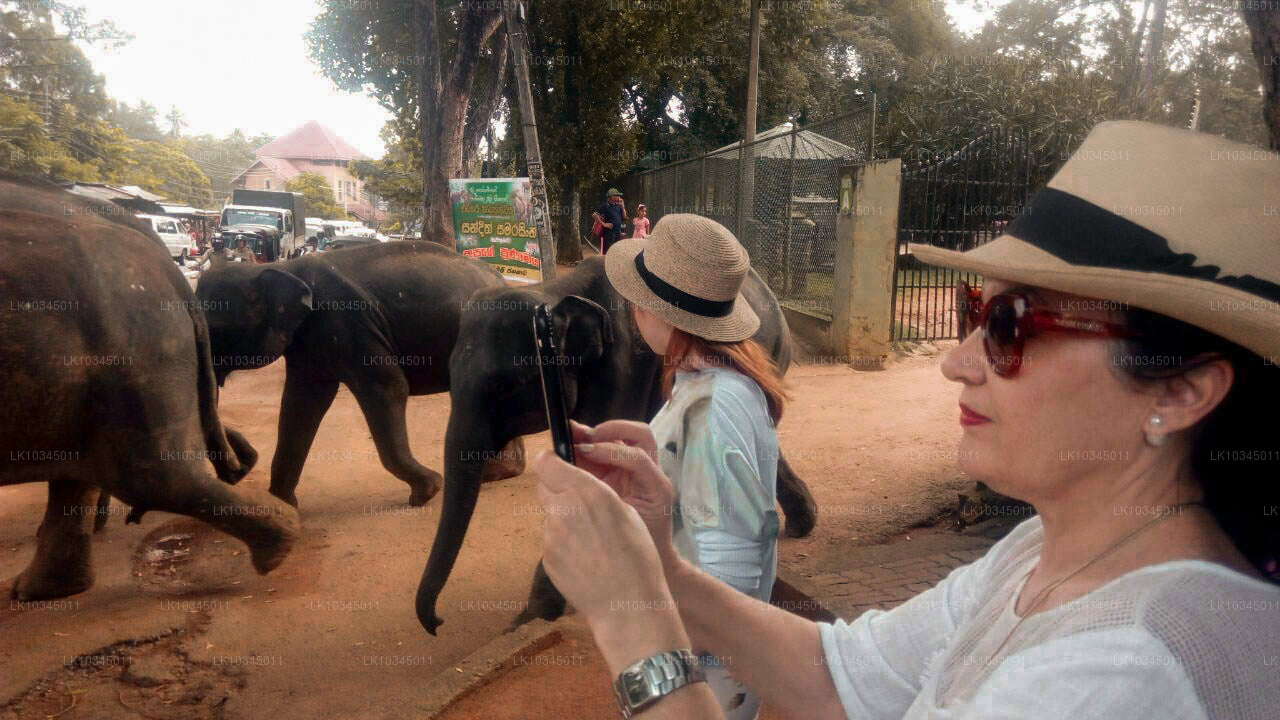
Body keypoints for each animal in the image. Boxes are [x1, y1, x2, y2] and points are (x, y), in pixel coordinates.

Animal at [194, 238, 524, 507]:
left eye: (217, 331)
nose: (241, 468)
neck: (281, 267)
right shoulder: (309, 345)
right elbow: (301, 404)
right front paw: (283, 505)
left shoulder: (349, 323)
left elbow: (388, 387)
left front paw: (427, 491)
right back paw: (499, 473)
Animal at [419, 254, 819, 630]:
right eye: (450, 381)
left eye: (506, 386)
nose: (439, 622)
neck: (554, 292)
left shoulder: (622, 368)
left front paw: (529, 619)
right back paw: (799, 526)